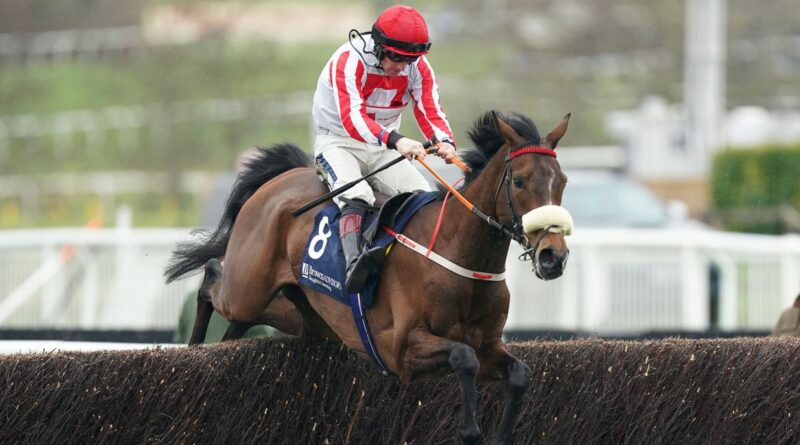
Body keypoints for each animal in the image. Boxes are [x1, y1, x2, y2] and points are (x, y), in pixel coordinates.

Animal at [166, 109, 572, 442]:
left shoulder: (489, 345)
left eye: (562, 181)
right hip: (246, 288)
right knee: (211, 278)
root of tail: (285, 176)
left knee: (244, 316)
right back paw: (193, 350)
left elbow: (519, 373)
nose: (553, 256)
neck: (458, 257)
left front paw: (500, 434)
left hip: (305, 314)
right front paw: (469, 430)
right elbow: (463, 358)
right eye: (519, 181)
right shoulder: (402, 349)